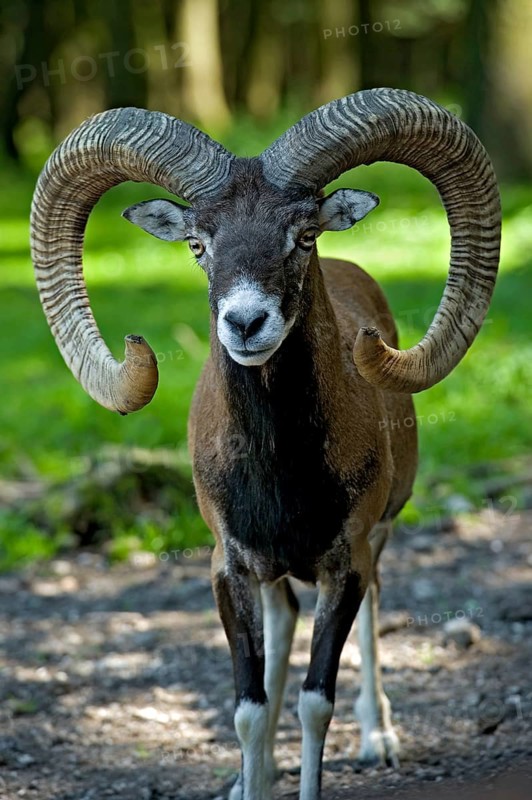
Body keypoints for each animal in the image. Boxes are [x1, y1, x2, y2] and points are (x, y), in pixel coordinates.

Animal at [30, 88, 501, 800]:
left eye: (303, 236)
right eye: (198, 243)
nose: (246, 322)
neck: (282, 473)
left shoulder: (345, 564)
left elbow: (317, 701)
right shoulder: (232, 568)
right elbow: (249, 710)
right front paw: (252, 778)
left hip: (379, 541)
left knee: (372, 613)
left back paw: (379, 738)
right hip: (274, 578)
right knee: (282, 624)